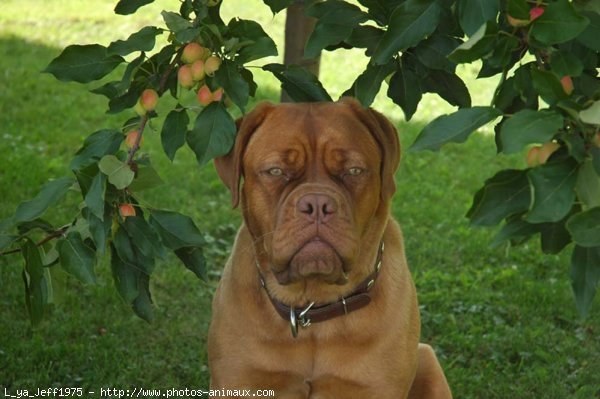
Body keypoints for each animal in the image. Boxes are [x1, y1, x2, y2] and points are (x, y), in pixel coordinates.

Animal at [209, 97, 452, 399]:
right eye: (276, 171)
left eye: (353, 171)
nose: (317, 204)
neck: (311, 311)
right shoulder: (238, 379)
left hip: (428, 360)